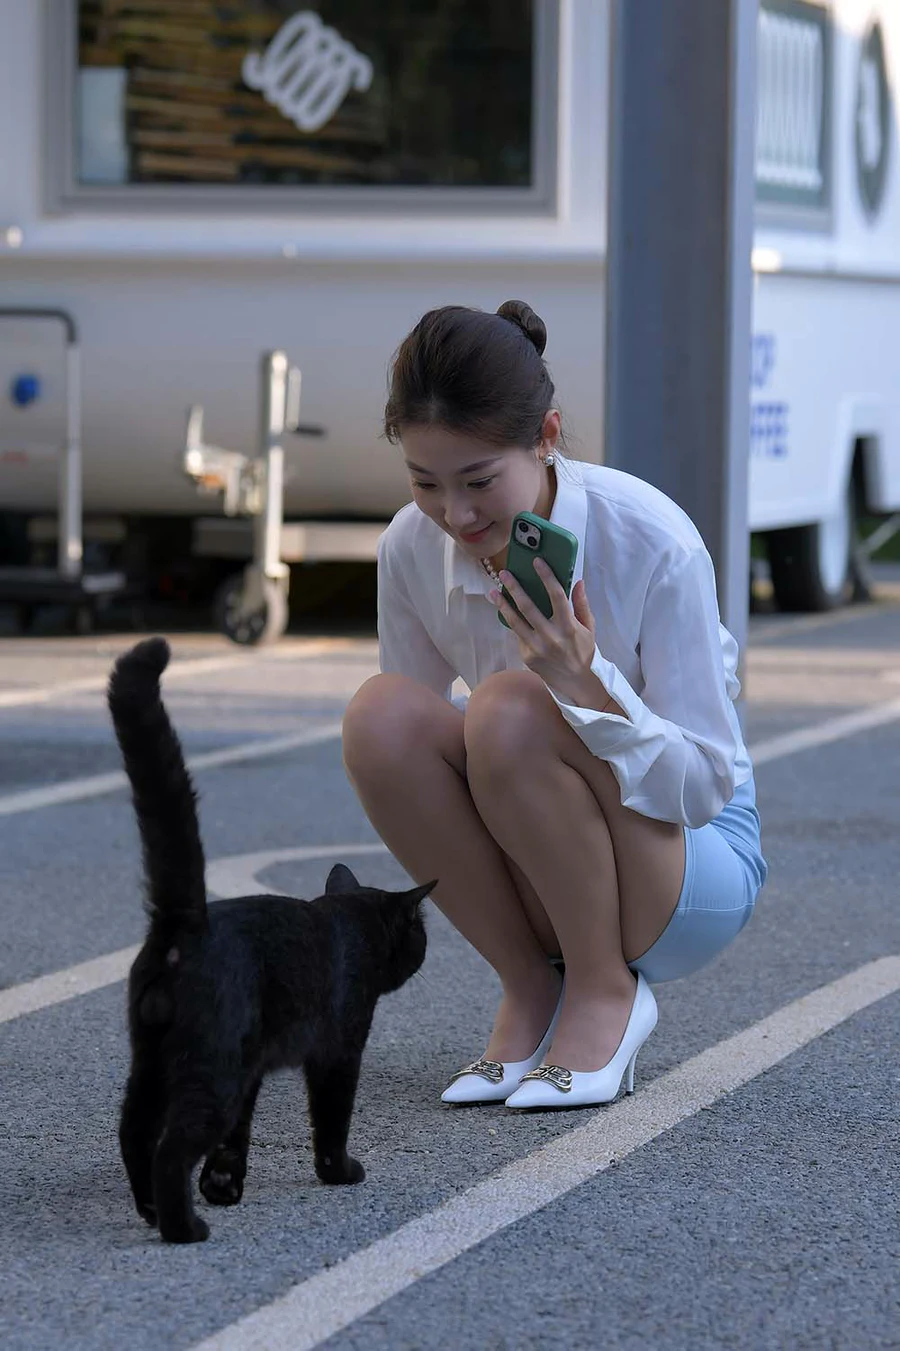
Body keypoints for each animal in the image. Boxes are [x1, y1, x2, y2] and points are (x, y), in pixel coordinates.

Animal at [106, 637, 429, 1237]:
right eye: (417, 935)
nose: (423, 952)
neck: (348, 922)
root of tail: (184, 924)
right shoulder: (338, 1049)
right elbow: (330, 1118)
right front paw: (339, 1172)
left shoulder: (253, 1069)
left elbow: (239, 1133)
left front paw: (223, 1185)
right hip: (211, 1067)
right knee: (172, 1147)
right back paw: (183, 1229)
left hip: (152, 1058)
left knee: (133, 1132)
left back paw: (151, 1210)